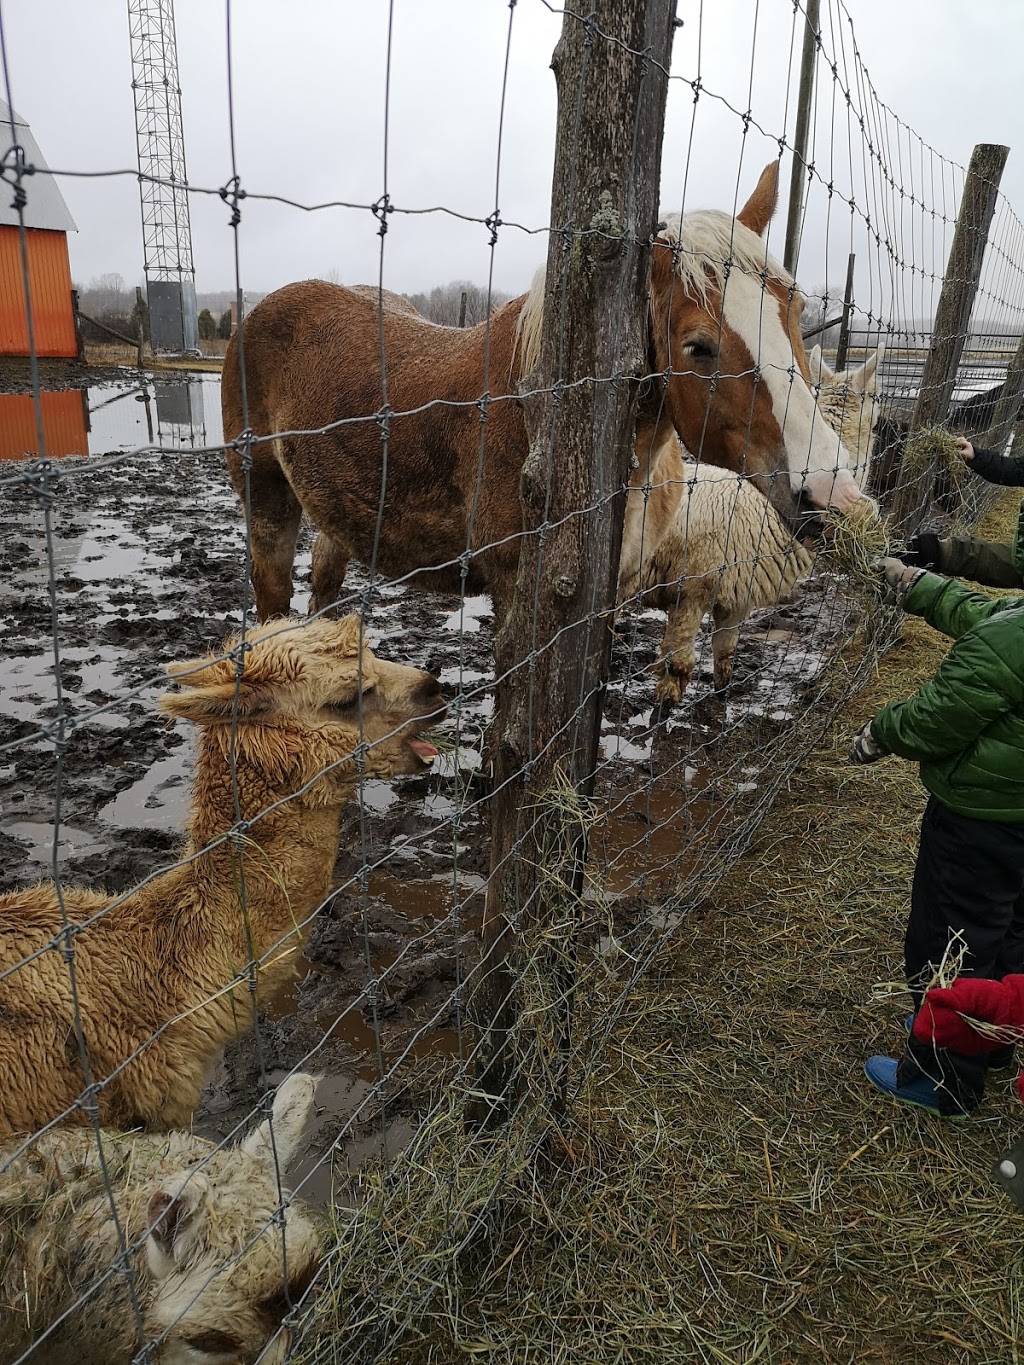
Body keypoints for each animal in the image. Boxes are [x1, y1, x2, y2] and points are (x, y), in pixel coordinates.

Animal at [622, 425, 813, 704]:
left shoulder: (737, 596)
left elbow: (725, 652)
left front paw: (722, 695)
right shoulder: (692, 591)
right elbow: (677, 663)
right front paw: (665, 705)